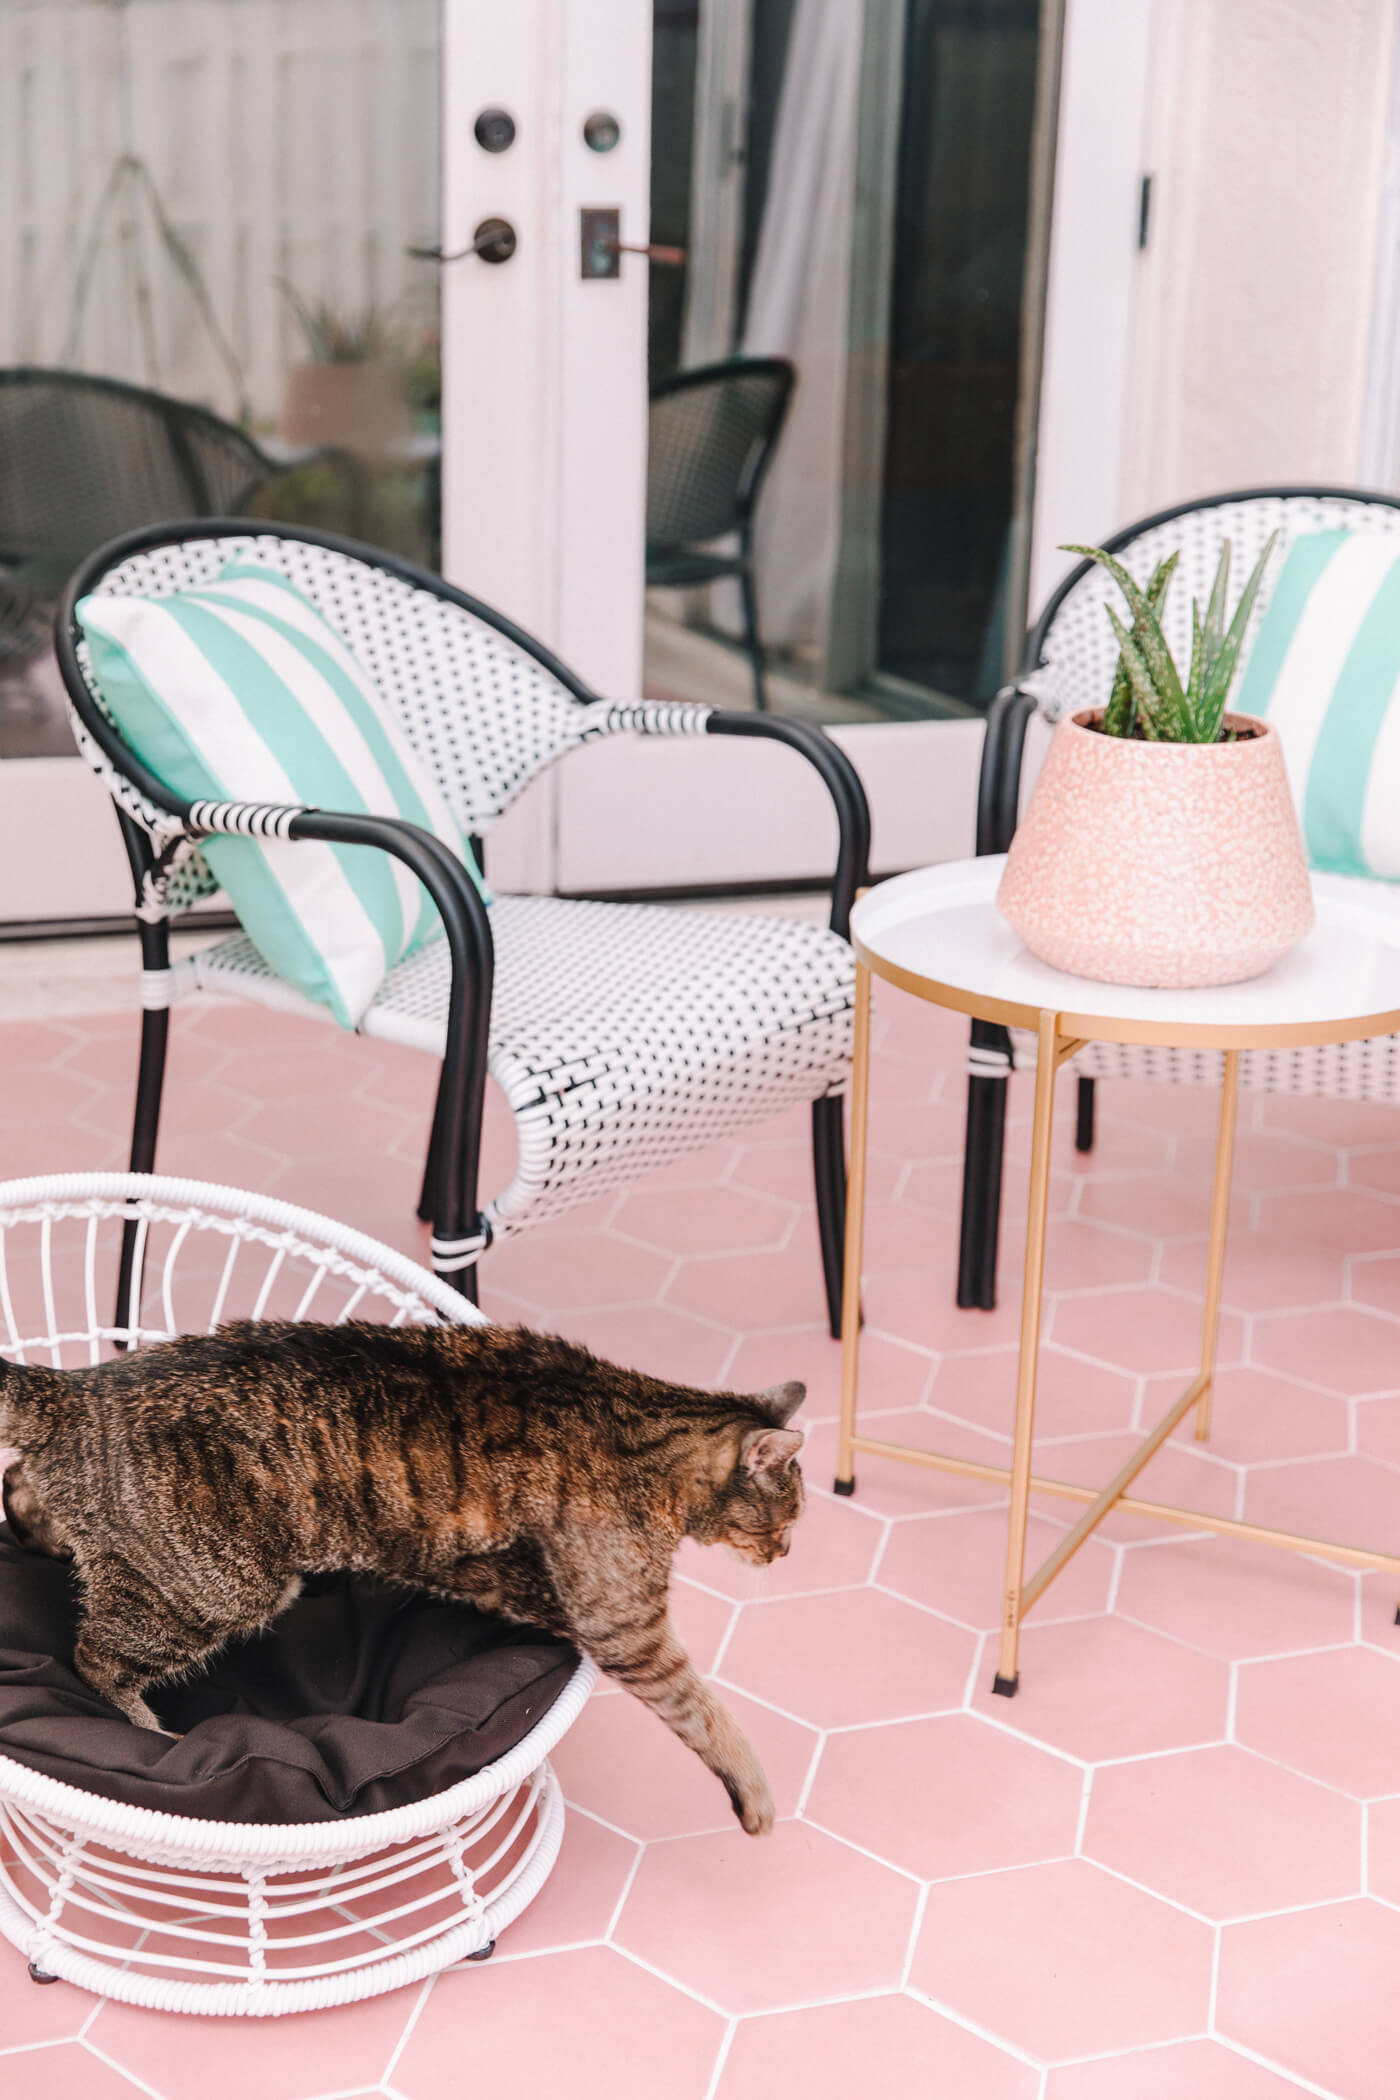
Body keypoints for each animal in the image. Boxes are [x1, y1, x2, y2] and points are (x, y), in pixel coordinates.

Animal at [0, 1327, 805, 1839]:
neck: (646, 1419)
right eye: (788, 1517)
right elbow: (707, 1712)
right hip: (224, 1589)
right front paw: (757, 1797)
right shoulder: (628, 1628)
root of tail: (79, 1389)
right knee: (94, 1657)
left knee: (21, 1491)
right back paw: (147, 1729)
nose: (787, 1554)